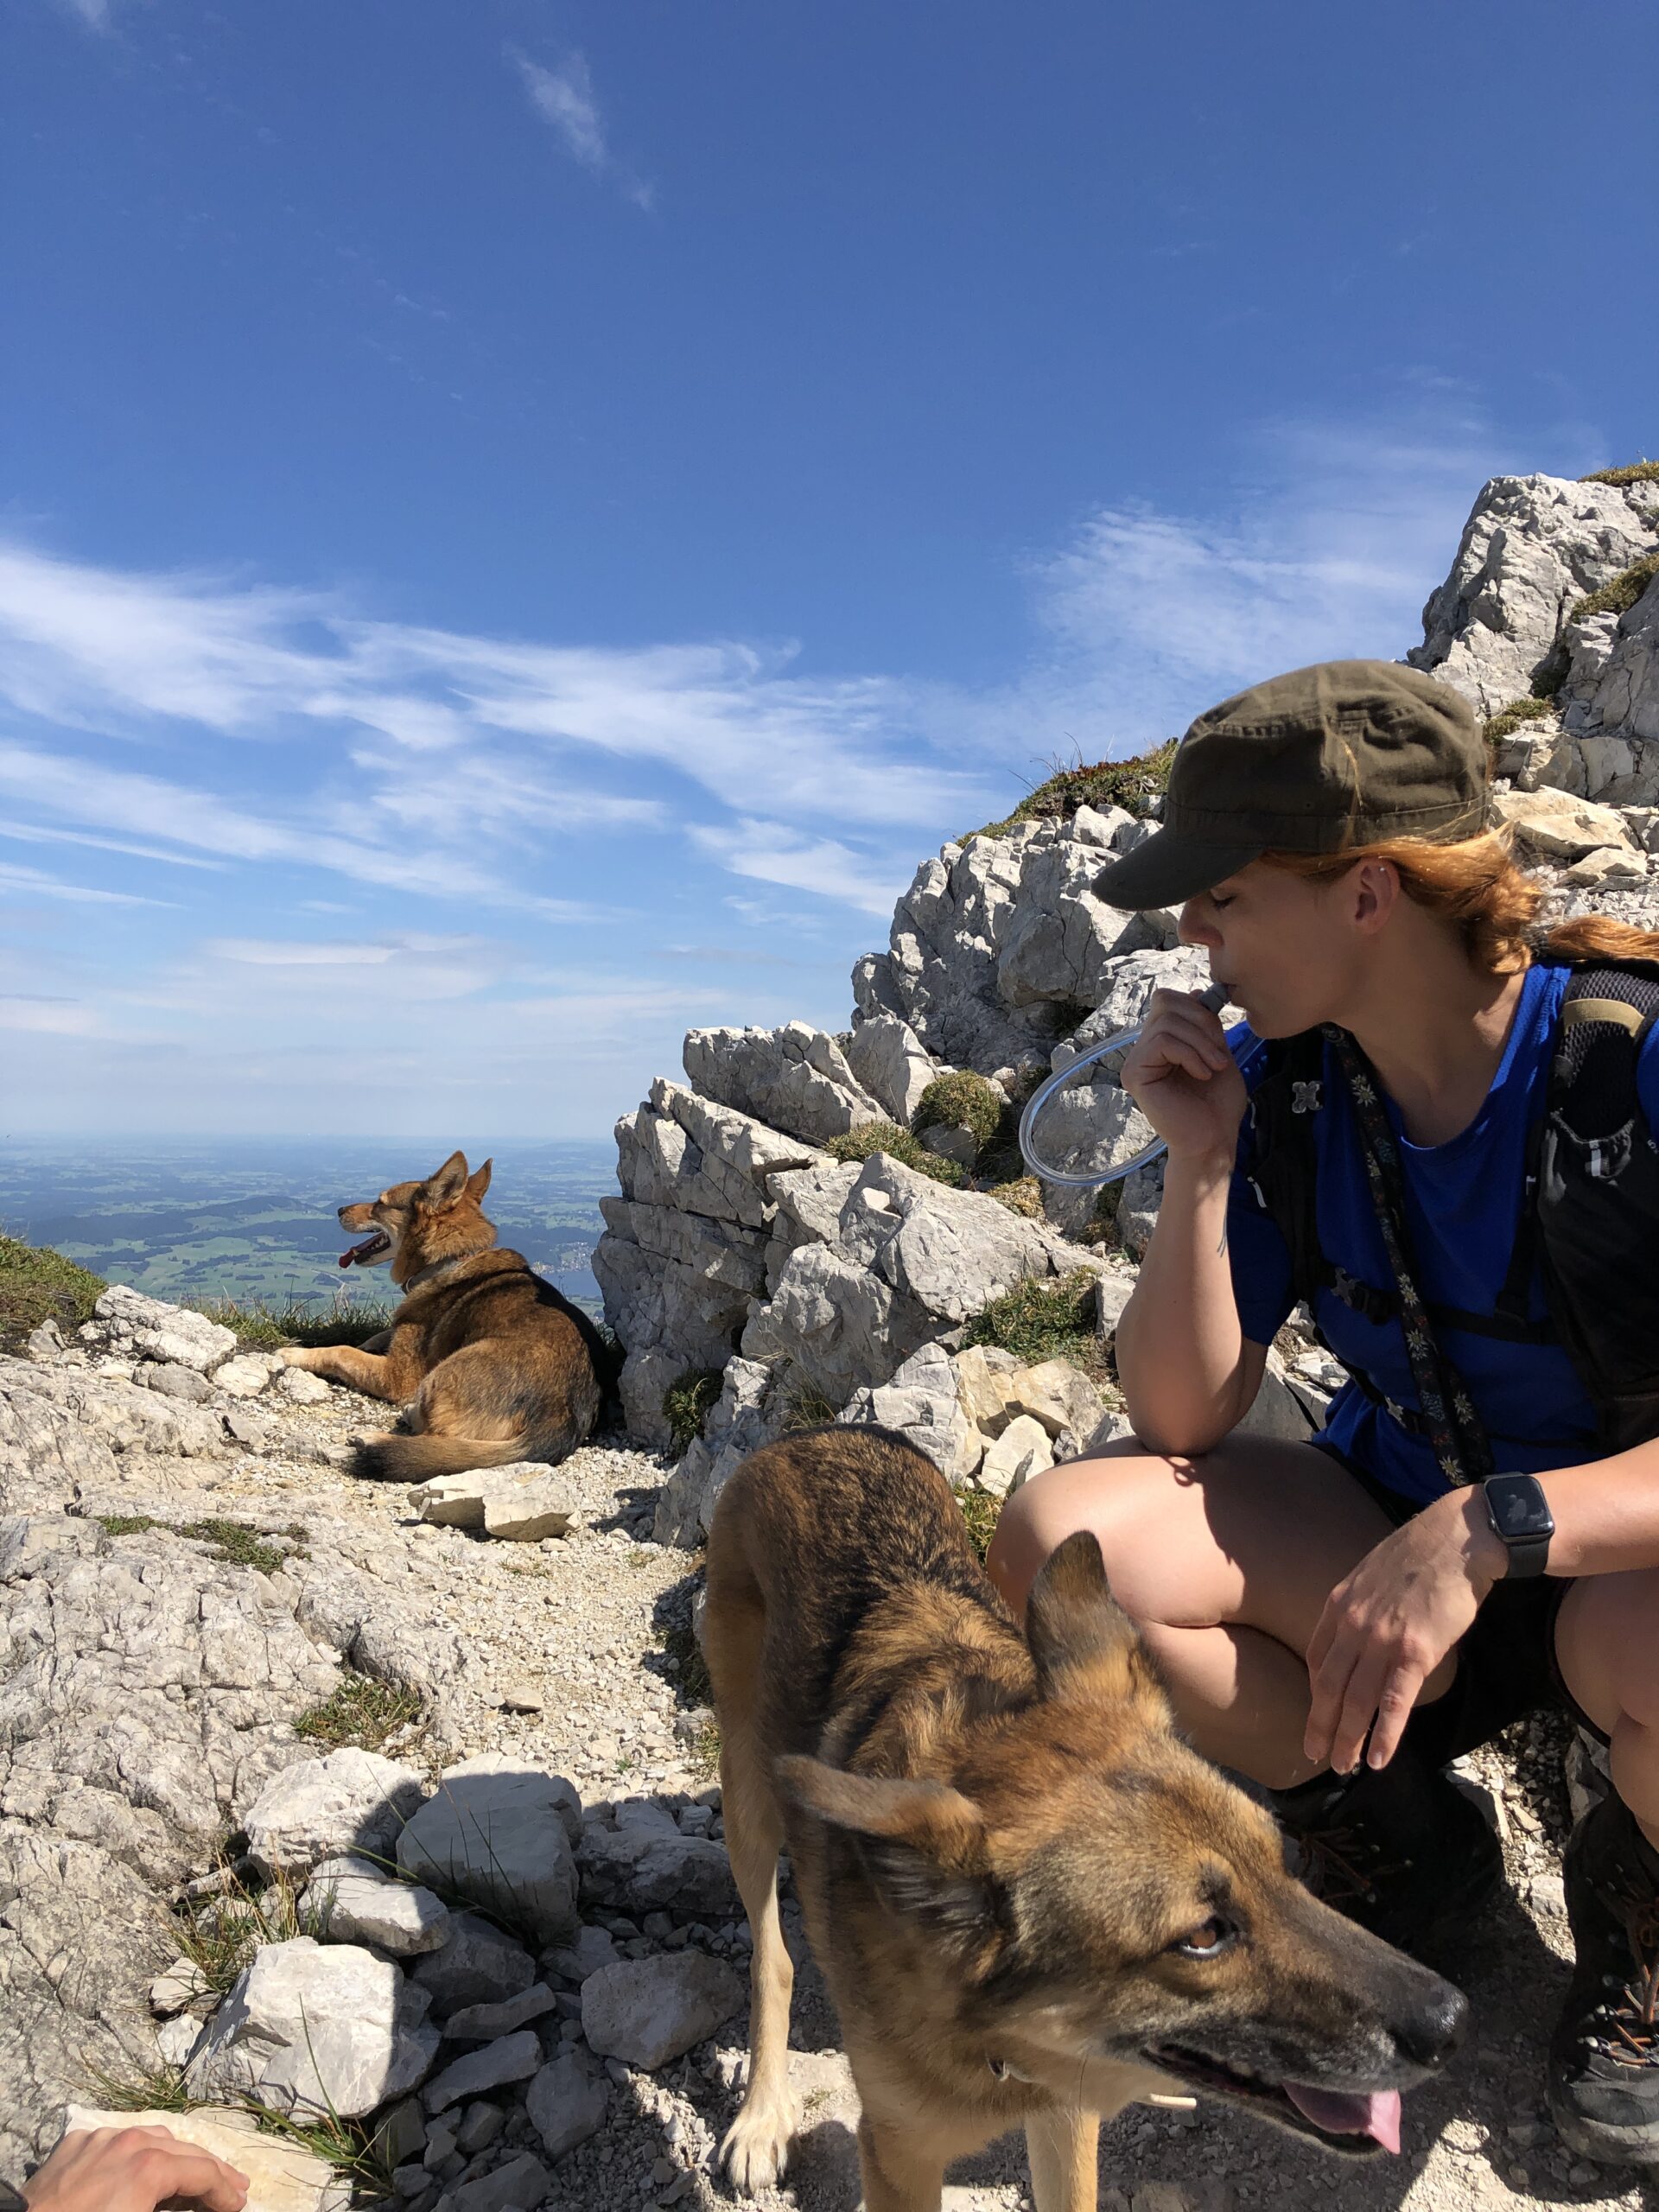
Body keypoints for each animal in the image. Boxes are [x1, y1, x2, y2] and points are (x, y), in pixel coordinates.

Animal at [285, 1150, 610, 1478]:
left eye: (381, 1202)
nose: (339, 1209)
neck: (448, 1260)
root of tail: (560, 1420)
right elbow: (378, 1335)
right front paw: (370, 1342)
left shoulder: (398, 1376)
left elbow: (341, 1351)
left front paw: (294, 1353)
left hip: (443, 1373)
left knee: (437, 1442)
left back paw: (376, 1436)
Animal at [703, 1415, 1468, 2212]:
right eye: (1203, 1936)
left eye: (1281, 1862)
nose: (1453, 2023)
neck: (1001, 2045)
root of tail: (821, 1431)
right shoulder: (896, 2154)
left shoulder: (1064, 2120)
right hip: (748, 1795)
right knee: (771, 1955)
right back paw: (761, 2115)